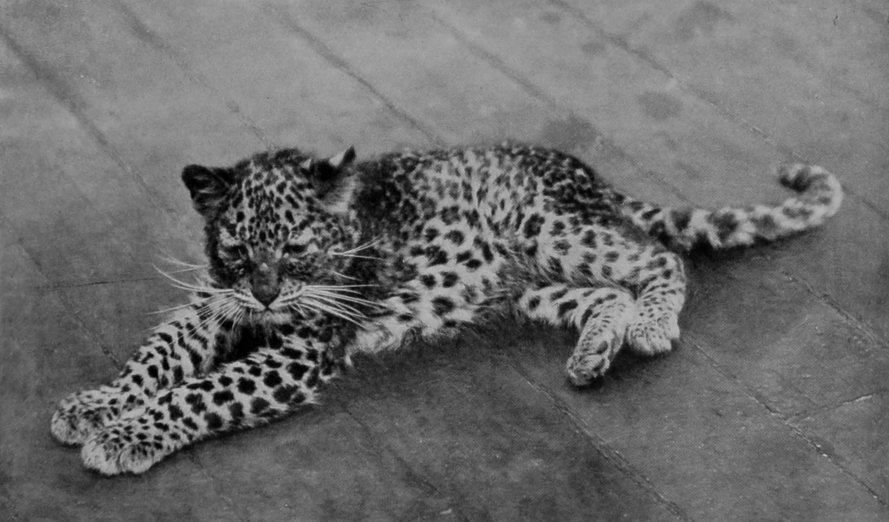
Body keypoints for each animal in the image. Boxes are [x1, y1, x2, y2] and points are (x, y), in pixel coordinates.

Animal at [50, 143, 842, 475]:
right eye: (239, 248)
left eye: (299, 246)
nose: (267, 294)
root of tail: (586, 173)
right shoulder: (214, 304)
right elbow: (160, 356)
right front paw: (96, 405)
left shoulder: (302, 349)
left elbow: (200, 391)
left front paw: (126, 436)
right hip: (526, 281)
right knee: (605, 292)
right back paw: (593, 353)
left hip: (548, 230)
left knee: (658, 260)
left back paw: (648, 328)